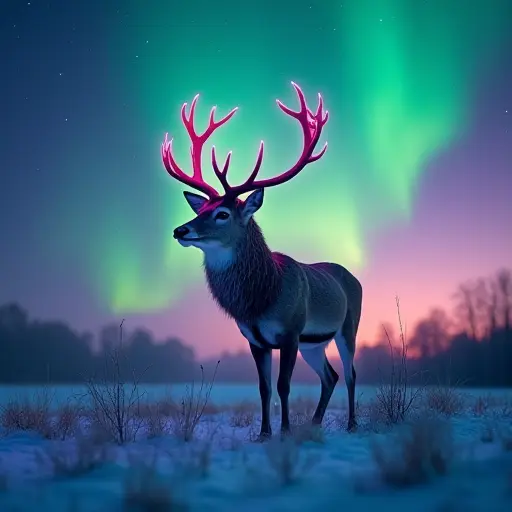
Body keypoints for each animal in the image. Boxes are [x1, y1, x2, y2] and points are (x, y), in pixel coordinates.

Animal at [162, 83, 362, 436]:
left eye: (223, 213)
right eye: (200, 209)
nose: (180, 230)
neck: (263, 297)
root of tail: (355, 279)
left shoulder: (291, 331)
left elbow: (283, 385)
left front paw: (284, 431)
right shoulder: (255, 339)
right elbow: (264, 388)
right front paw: (264, 433)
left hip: (348, 326)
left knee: (350, 374)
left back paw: (351, 424)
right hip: (314, 344)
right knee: (331, 376)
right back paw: (315, 423)